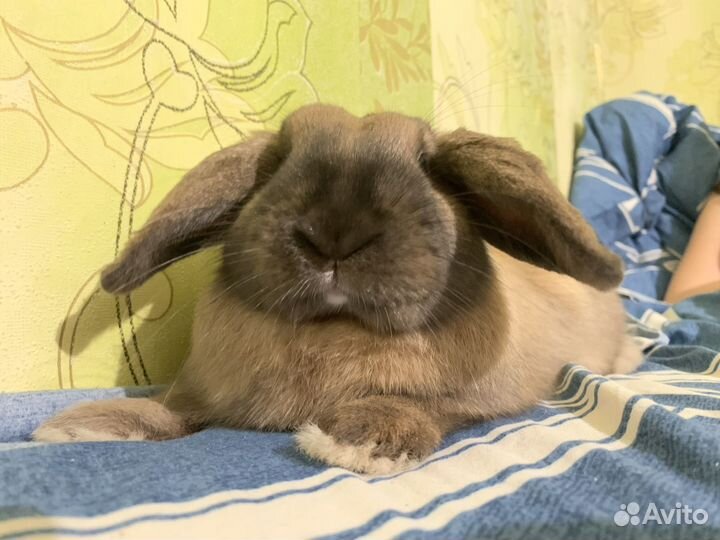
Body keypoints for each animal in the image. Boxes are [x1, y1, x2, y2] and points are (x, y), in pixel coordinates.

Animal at [33, 104, 642, 474]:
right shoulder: (198, 395)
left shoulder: (482, 396)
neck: (332, 329)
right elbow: (171, 411)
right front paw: (84, 427)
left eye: (430, 165)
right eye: (278, 160)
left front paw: (357, 440)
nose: (334, 233)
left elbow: (422, 405)